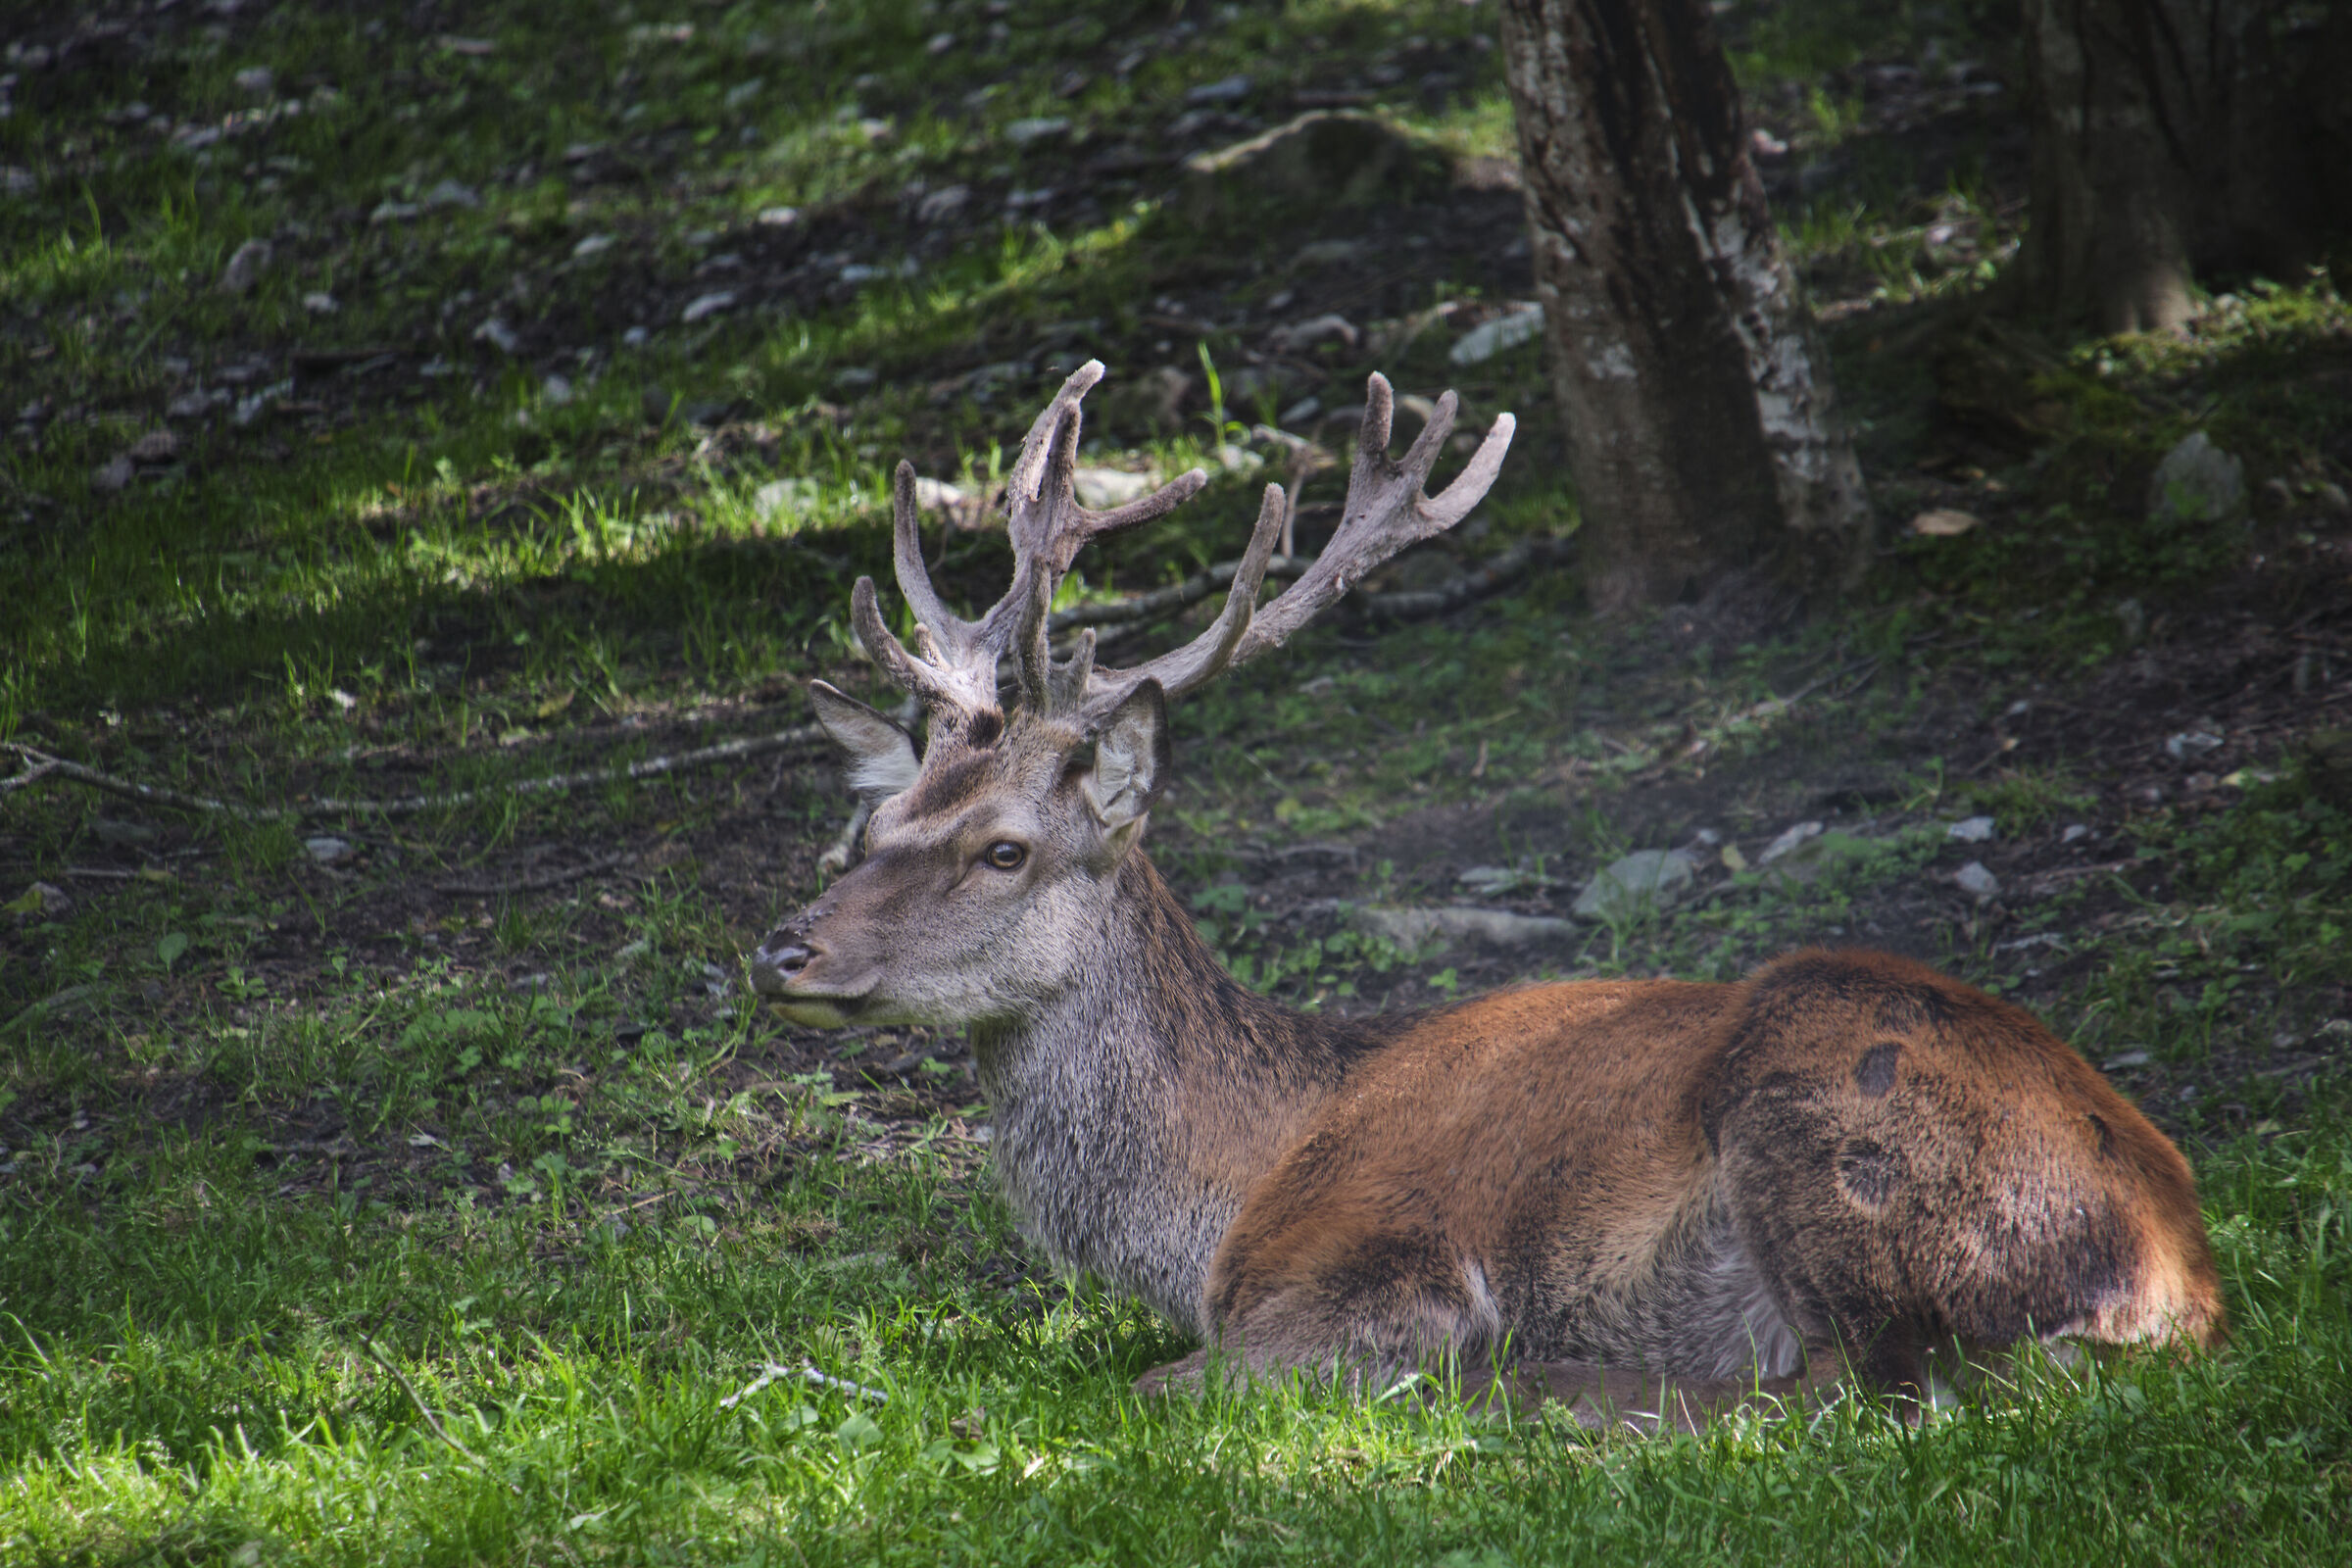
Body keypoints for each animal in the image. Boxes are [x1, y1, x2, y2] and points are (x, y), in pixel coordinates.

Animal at [750, 362, 2225, 1431]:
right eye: (871, 823)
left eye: (1003, 848)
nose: (784, 950)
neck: (1222, 1192)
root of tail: (2170, 1276)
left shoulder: (1374, 1270)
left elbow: (1160, 1382)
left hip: (1821, 1102)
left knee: (1853, 1391)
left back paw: (1543, 1391)